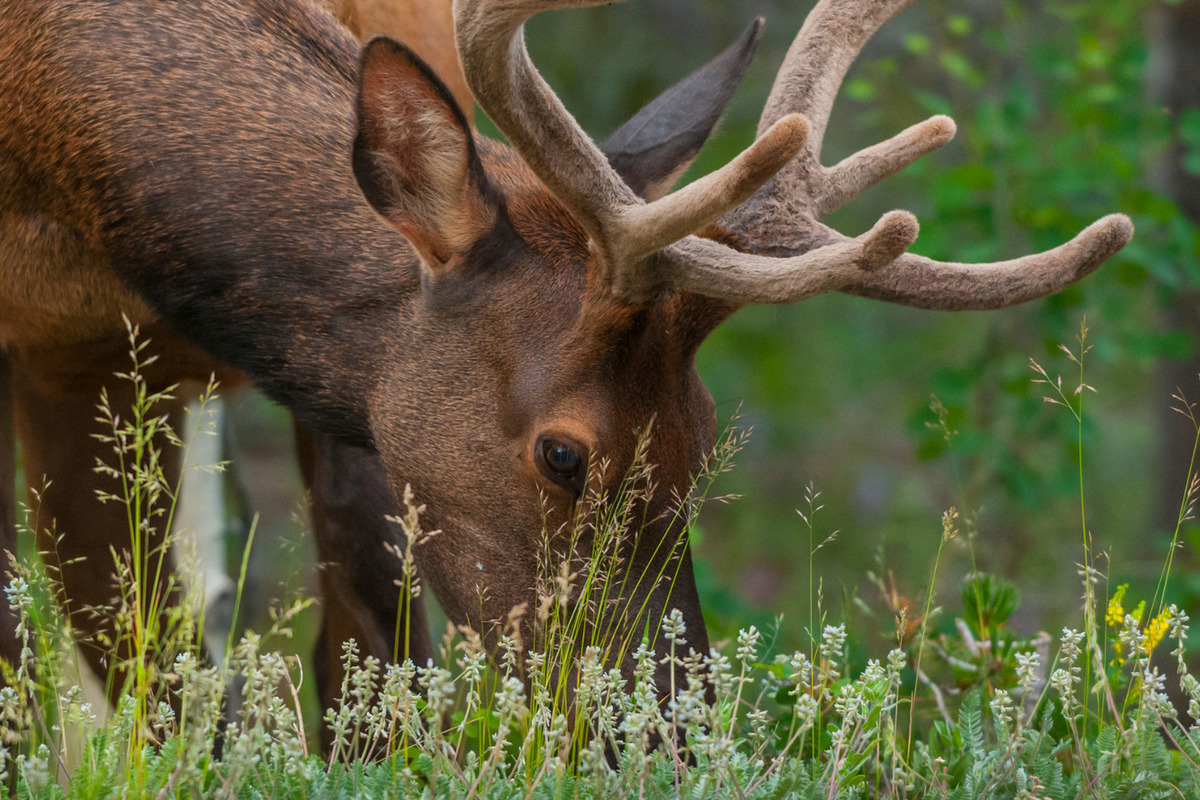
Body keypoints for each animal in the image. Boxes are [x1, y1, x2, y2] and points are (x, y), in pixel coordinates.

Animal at [0, 0, 1128, 724]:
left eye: (705, 435)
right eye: (564, 454)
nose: (669, 734)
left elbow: (365, 637)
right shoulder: (69, 364)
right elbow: (149, 678)